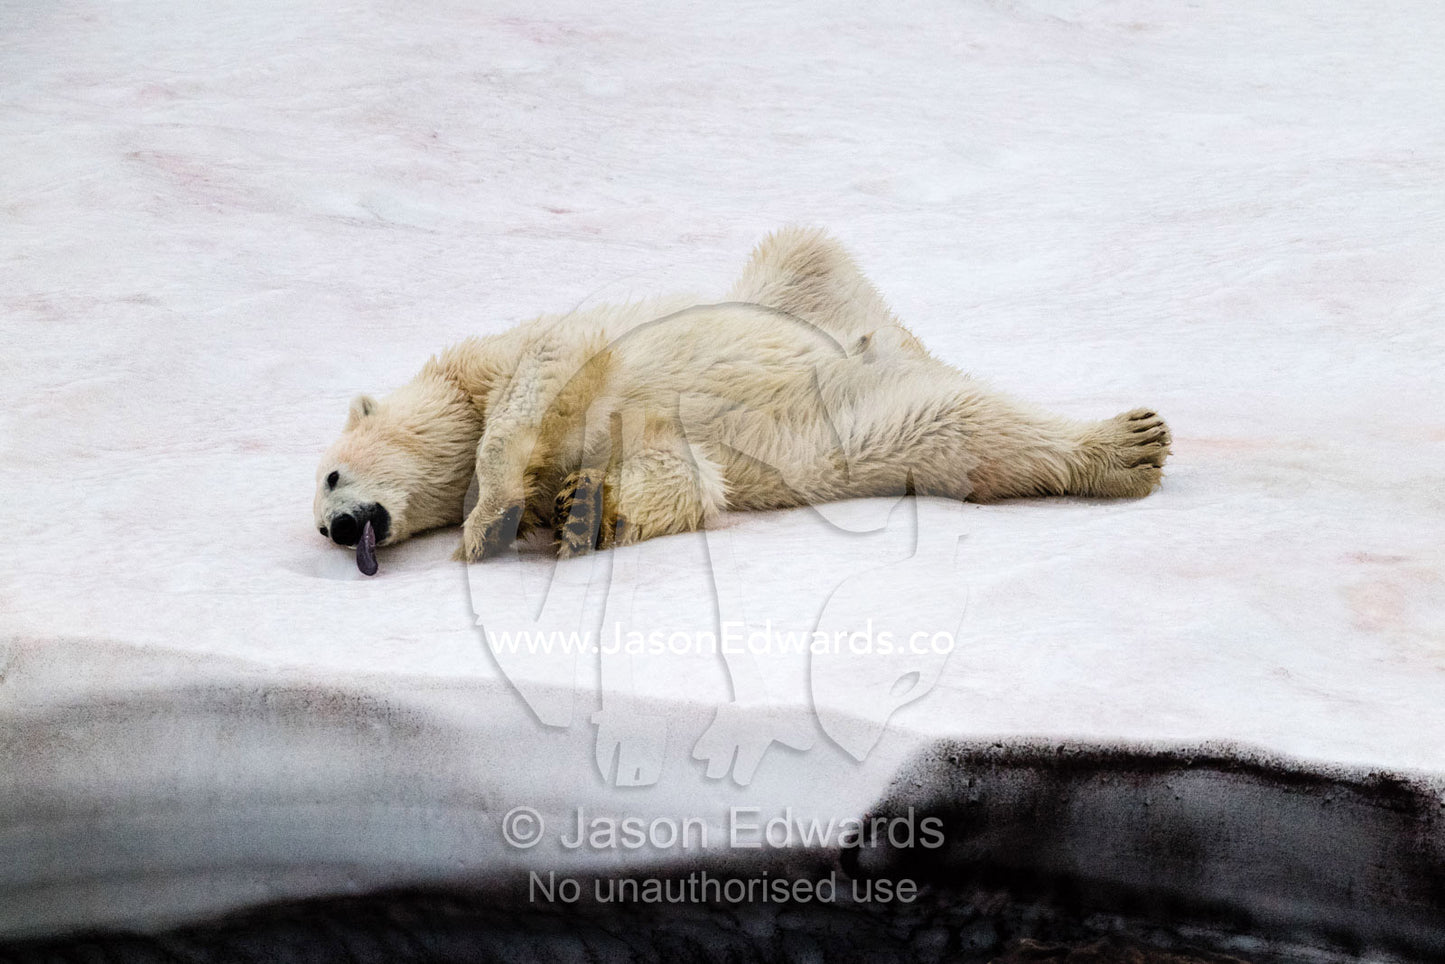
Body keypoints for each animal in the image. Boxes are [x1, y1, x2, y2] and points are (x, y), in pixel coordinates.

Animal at [313, 228, 1170, 571]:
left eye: (328, 477)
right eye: (321, 517)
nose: (338, 528)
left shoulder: (520, 354)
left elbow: (531, 389)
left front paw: (488, 522)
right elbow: (679, 472)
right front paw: (581, 511)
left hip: (799, 299)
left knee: (802, 250)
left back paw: (1127, 442)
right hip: (868, 425)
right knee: (966, 433)